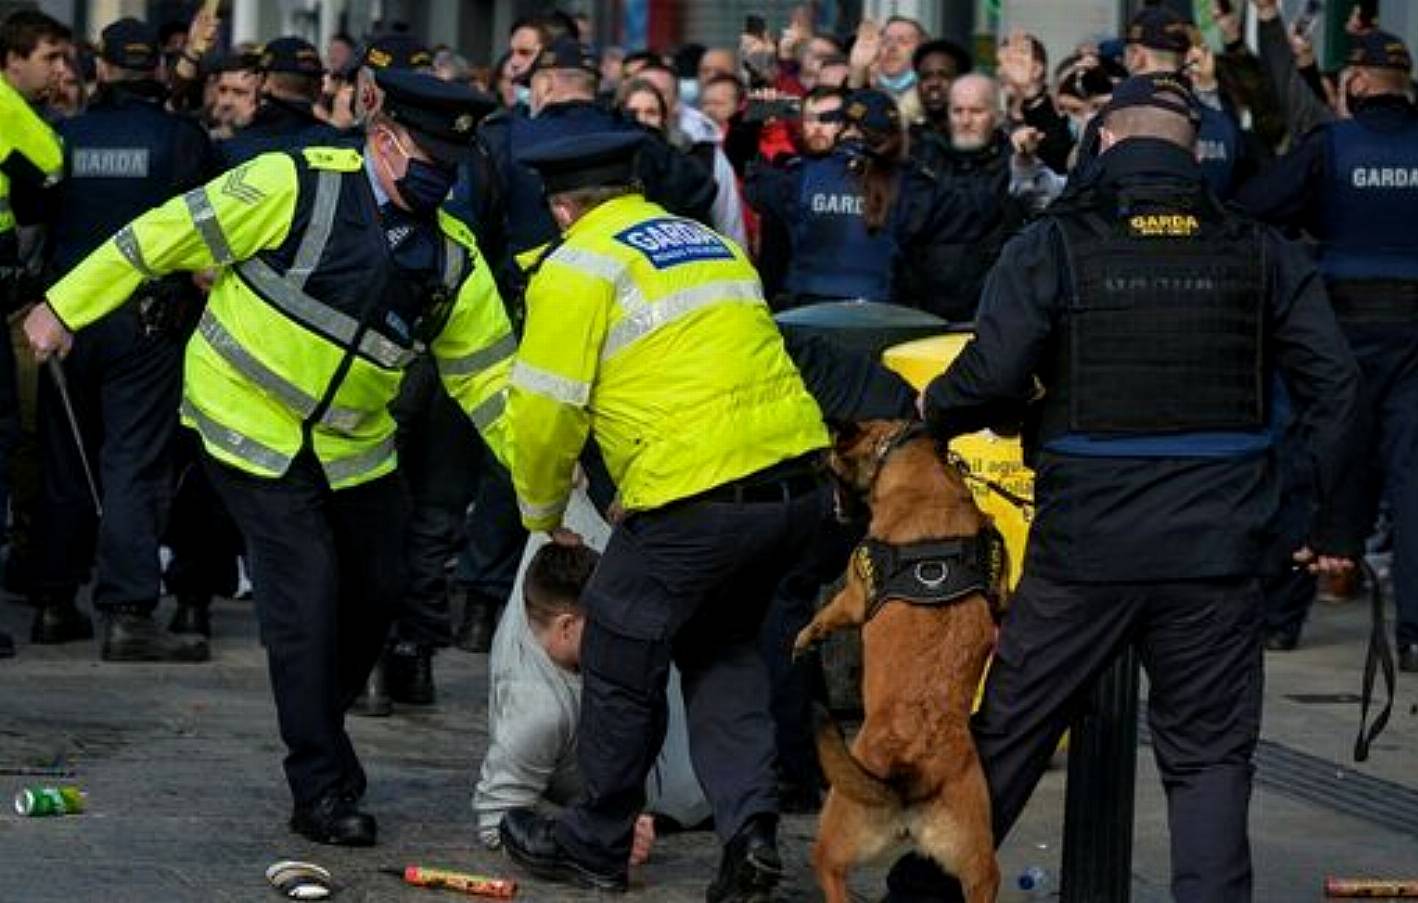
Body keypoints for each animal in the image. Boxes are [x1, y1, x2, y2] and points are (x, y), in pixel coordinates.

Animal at [794, 419, 1003, 901]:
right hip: (980, 868)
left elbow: (826, 614)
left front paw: (805, 637)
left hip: (834, 835)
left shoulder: (852, 599)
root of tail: (911, 772)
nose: (809, 462)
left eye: (830, 459)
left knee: (831, 873)